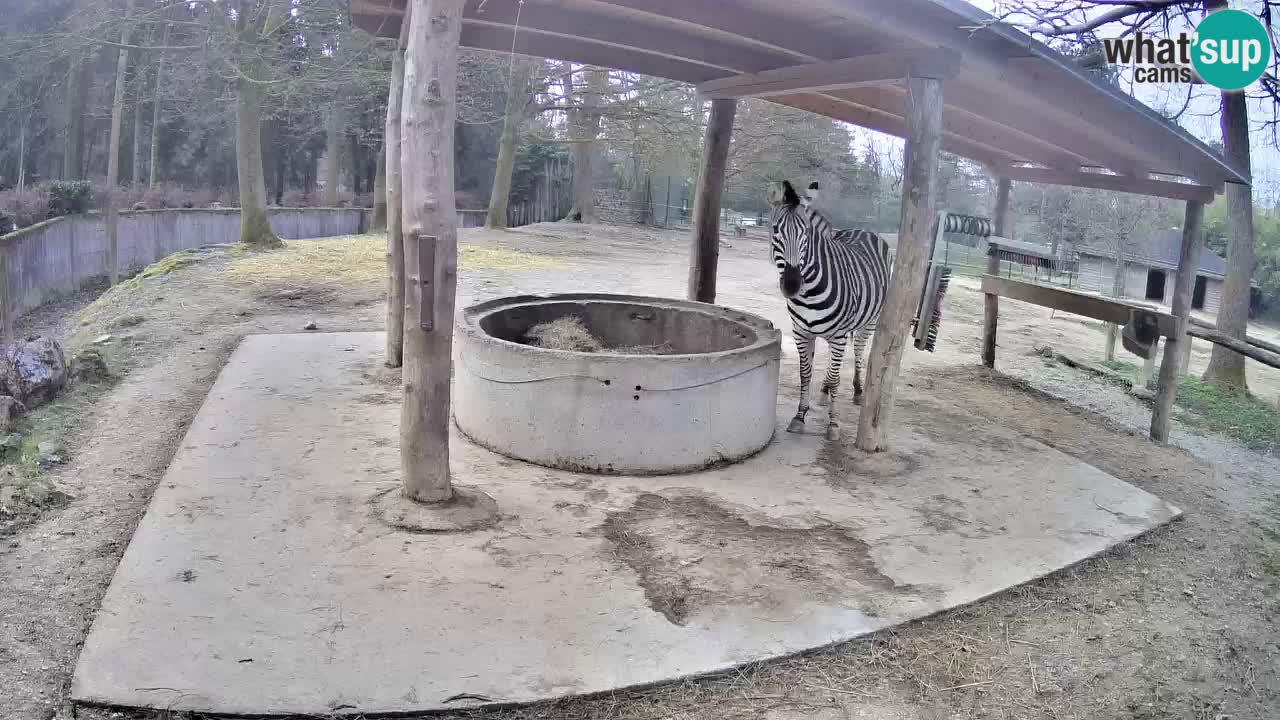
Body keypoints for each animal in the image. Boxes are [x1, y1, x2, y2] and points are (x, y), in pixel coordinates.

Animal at [767, 180, 891, 440]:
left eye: (805, 233)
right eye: (775, 231)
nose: (792, 285)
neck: (809, 293)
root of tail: (863, 230)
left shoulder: (839, 335)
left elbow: (835, 378)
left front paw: (833, 424)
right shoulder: (801, 333)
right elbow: (806, 374)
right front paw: (799, 416)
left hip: (869, 321)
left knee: (858, 351)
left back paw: (857, 390)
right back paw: (824, 390)